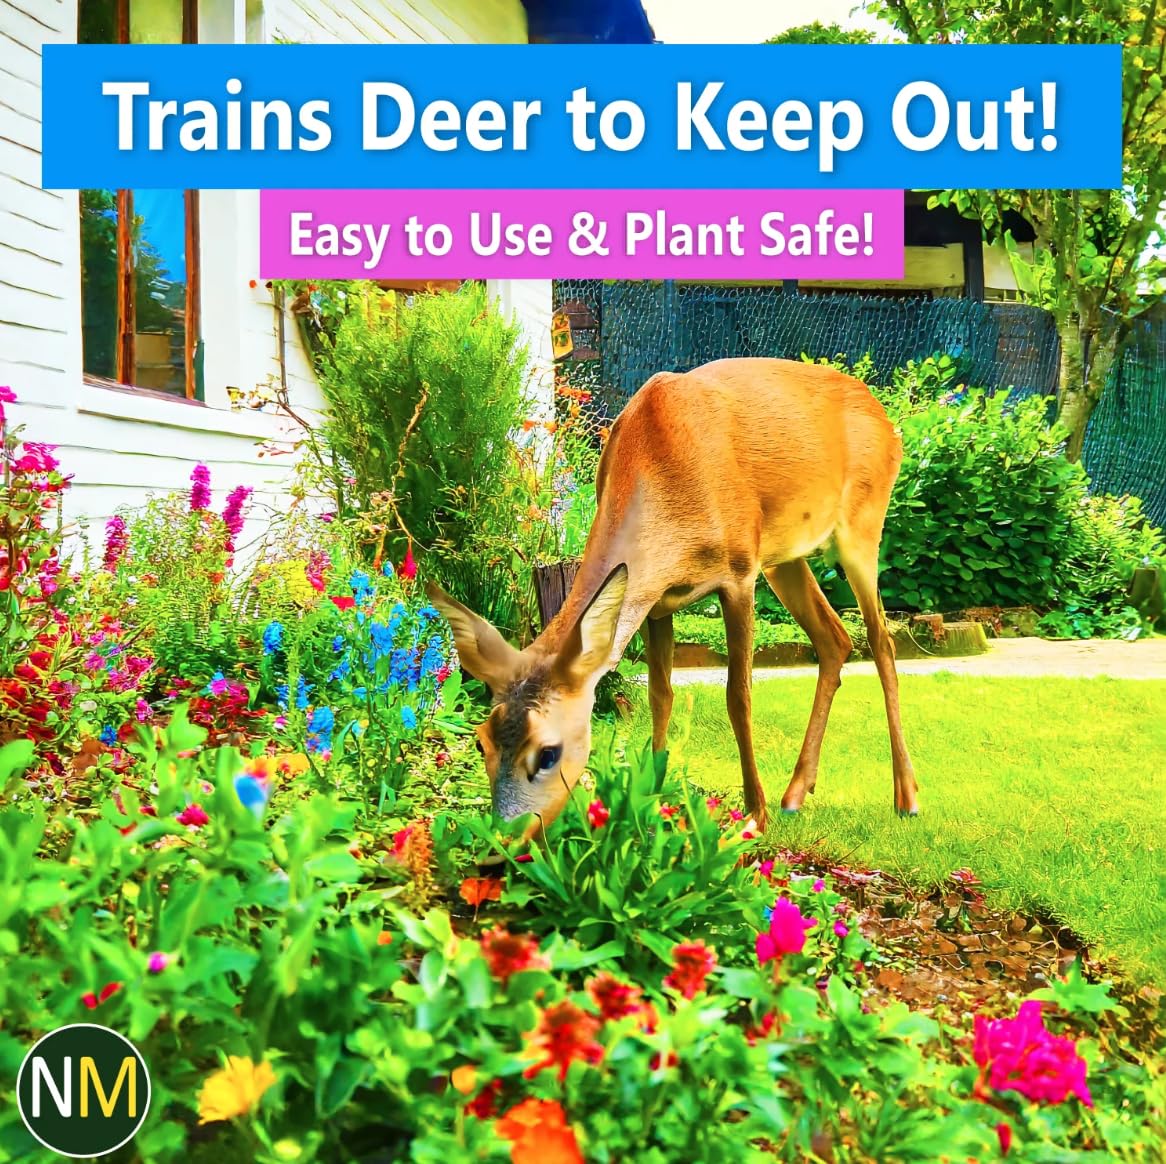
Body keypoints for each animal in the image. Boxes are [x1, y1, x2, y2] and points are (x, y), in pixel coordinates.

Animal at [427, 357, 918, 837]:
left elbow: (739, 696)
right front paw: (653, 795)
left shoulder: (739, 574)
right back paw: (796, 793)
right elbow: (659, 695)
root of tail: (883, 417)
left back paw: (906, 797)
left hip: (862, 525)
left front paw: (754, 816)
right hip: (784, 557)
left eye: (548, 752)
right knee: (835, 638)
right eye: (481, 741)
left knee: (882, 640)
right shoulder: (655, 600)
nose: (503, 836)